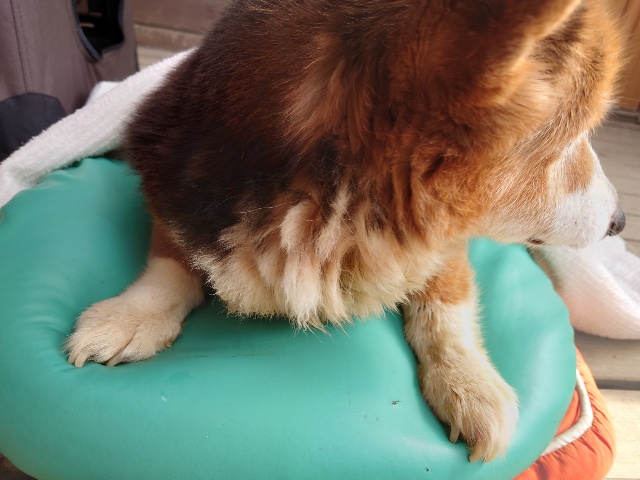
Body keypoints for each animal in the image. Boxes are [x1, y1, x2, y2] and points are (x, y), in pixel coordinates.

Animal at [65, 0, 625, 463]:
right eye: (569, 141)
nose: (620, 221)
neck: (325, 219)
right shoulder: (174, 196)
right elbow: (171, 262)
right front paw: (129, 317)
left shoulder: (443, 242)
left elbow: (445, 304)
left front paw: (470, 384)